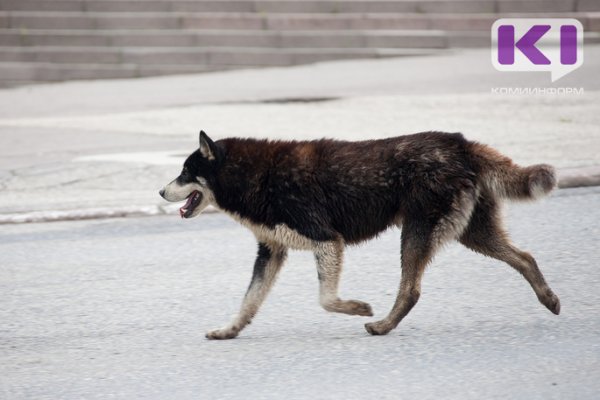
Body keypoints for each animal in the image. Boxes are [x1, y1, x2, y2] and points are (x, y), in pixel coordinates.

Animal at [161, 130, 564, 340]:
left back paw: (382, 324)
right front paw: (229, 330)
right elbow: (249, 302)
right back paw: (549, 299)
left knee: (411, 290)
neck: (255, 175)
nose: (161, 192)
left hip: (417, 233)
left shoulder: (326, 240)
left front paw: (356, 308)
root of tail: (460, 142)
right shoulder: (271, 252)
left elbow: (326, 299)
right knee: (525, 257)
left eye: (185, 173)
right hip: (473, 233)